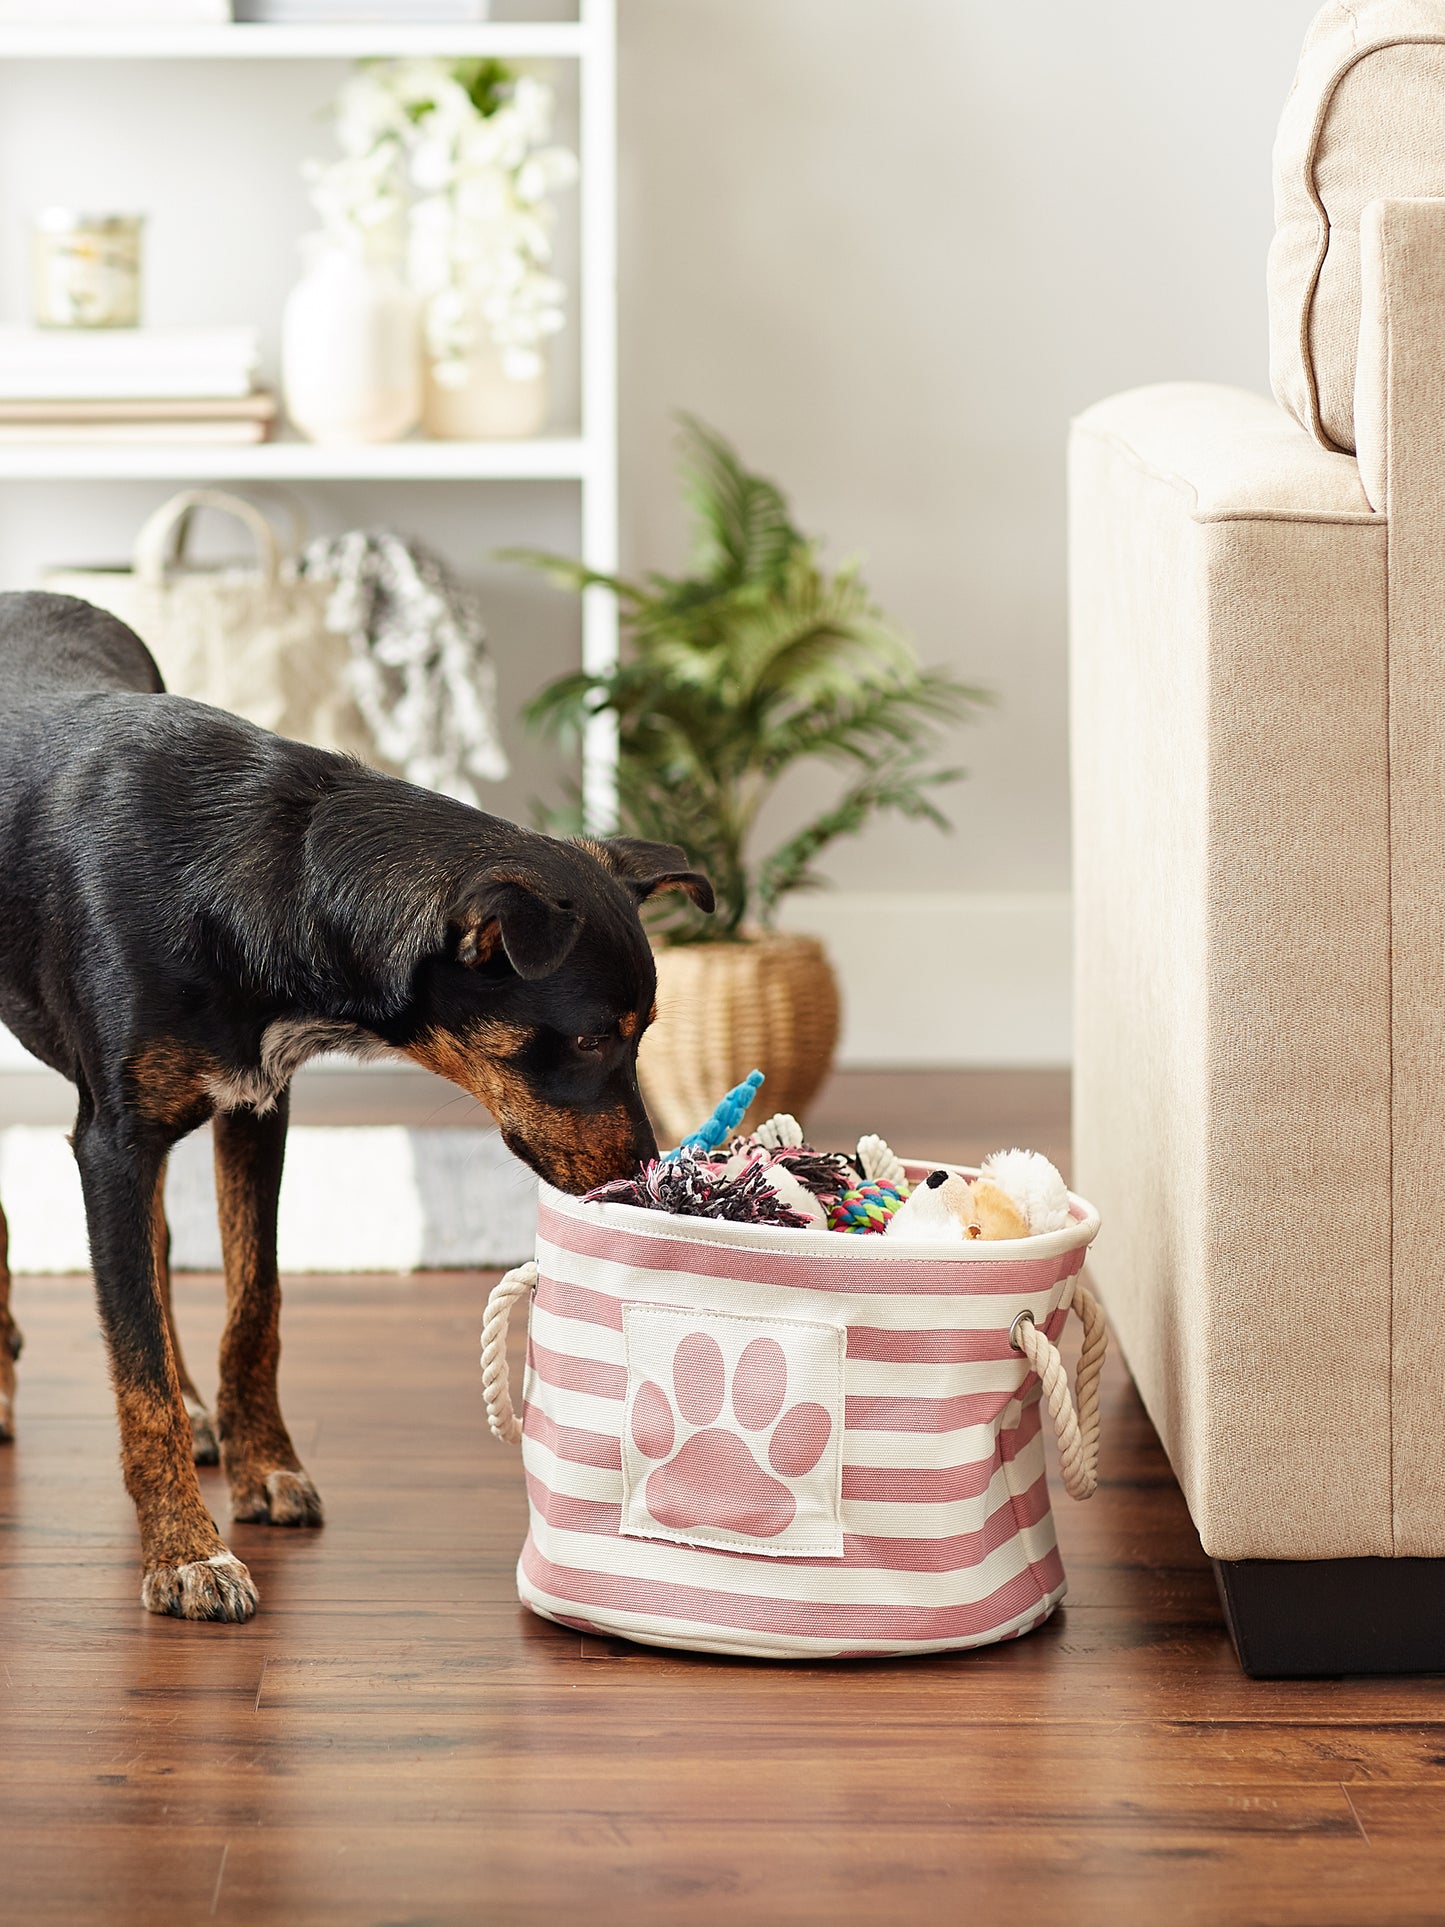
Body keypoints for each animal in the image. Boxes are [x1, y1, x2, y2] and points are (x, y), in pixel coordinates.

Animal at [0, 593, 709, 1618]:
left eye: (644, 1032)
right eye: (586, 1041)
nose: (639, 1179)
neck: (261, 878)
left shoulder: (256, 1105)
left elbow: (254, 1303)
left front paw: (261, 1461)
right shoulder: (113, 1141)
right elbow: (132, 1364)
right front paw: (183, 1548)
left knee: (160, 1249)